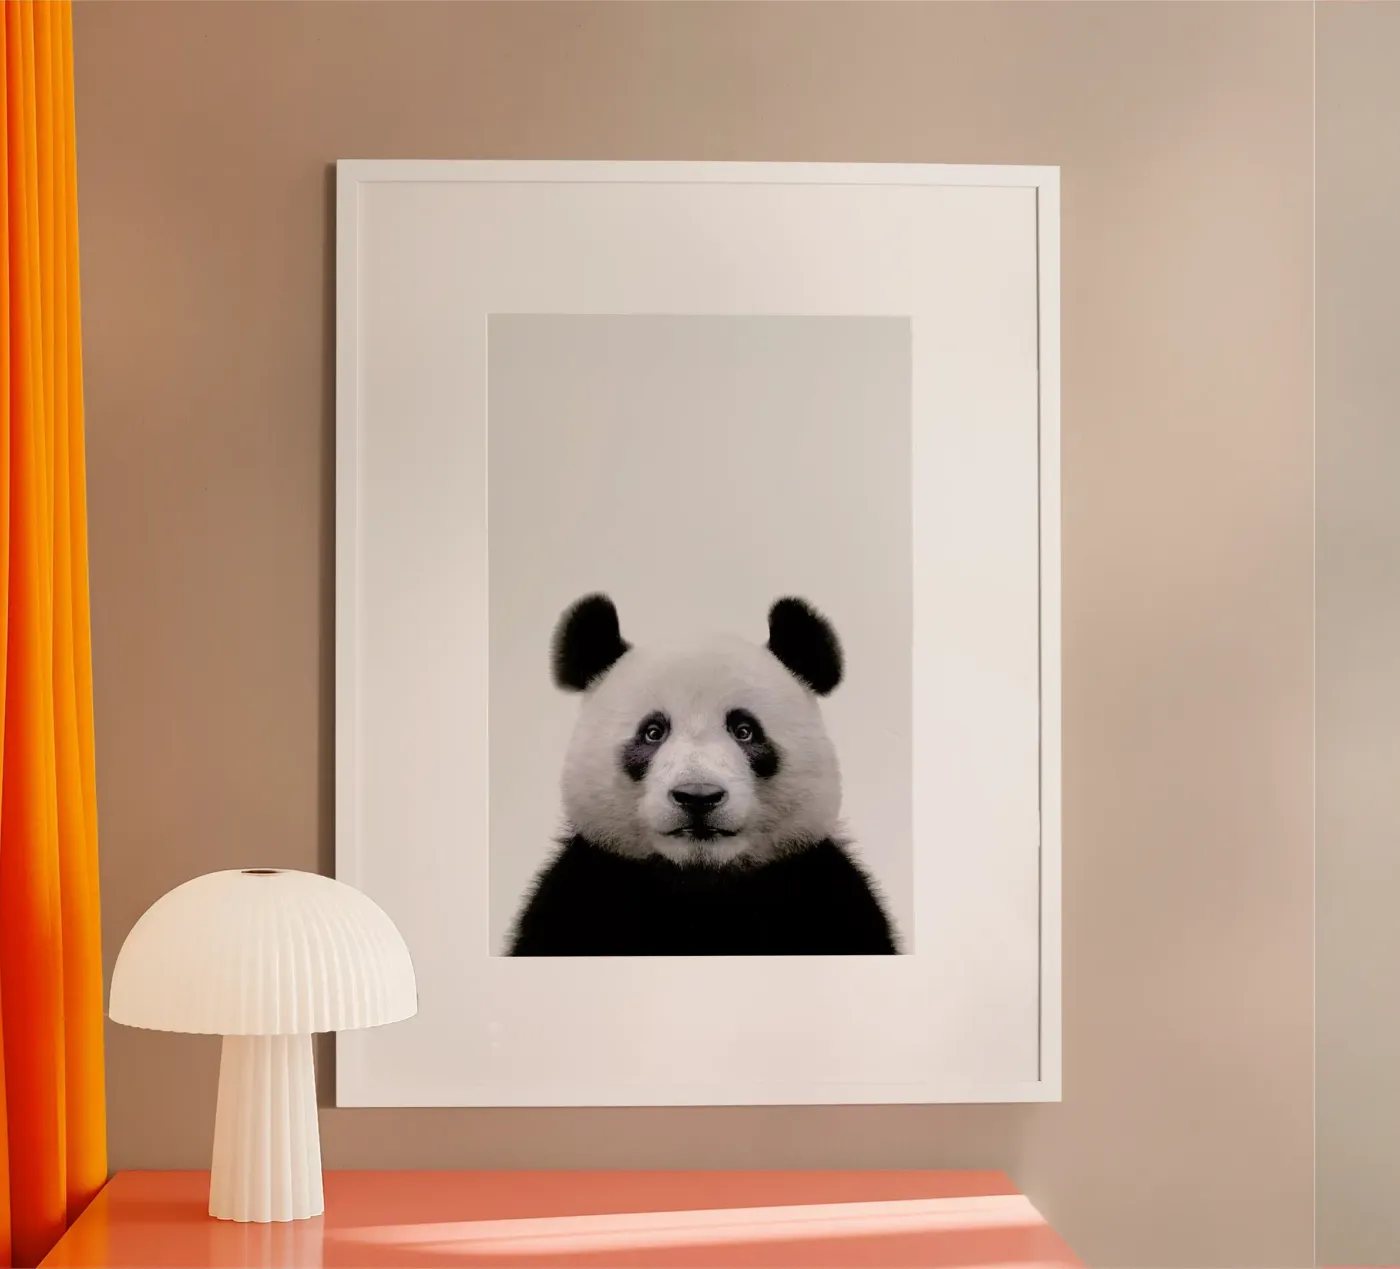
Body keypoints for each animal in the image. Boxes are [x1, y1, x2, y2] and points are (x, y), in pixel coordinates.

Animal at [506, 593, 899, 957]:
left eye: (745, 731)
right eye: (653, 732)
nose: (698, 796)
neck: (699, 885)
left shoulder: (826, 895)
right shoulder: (580, 893)